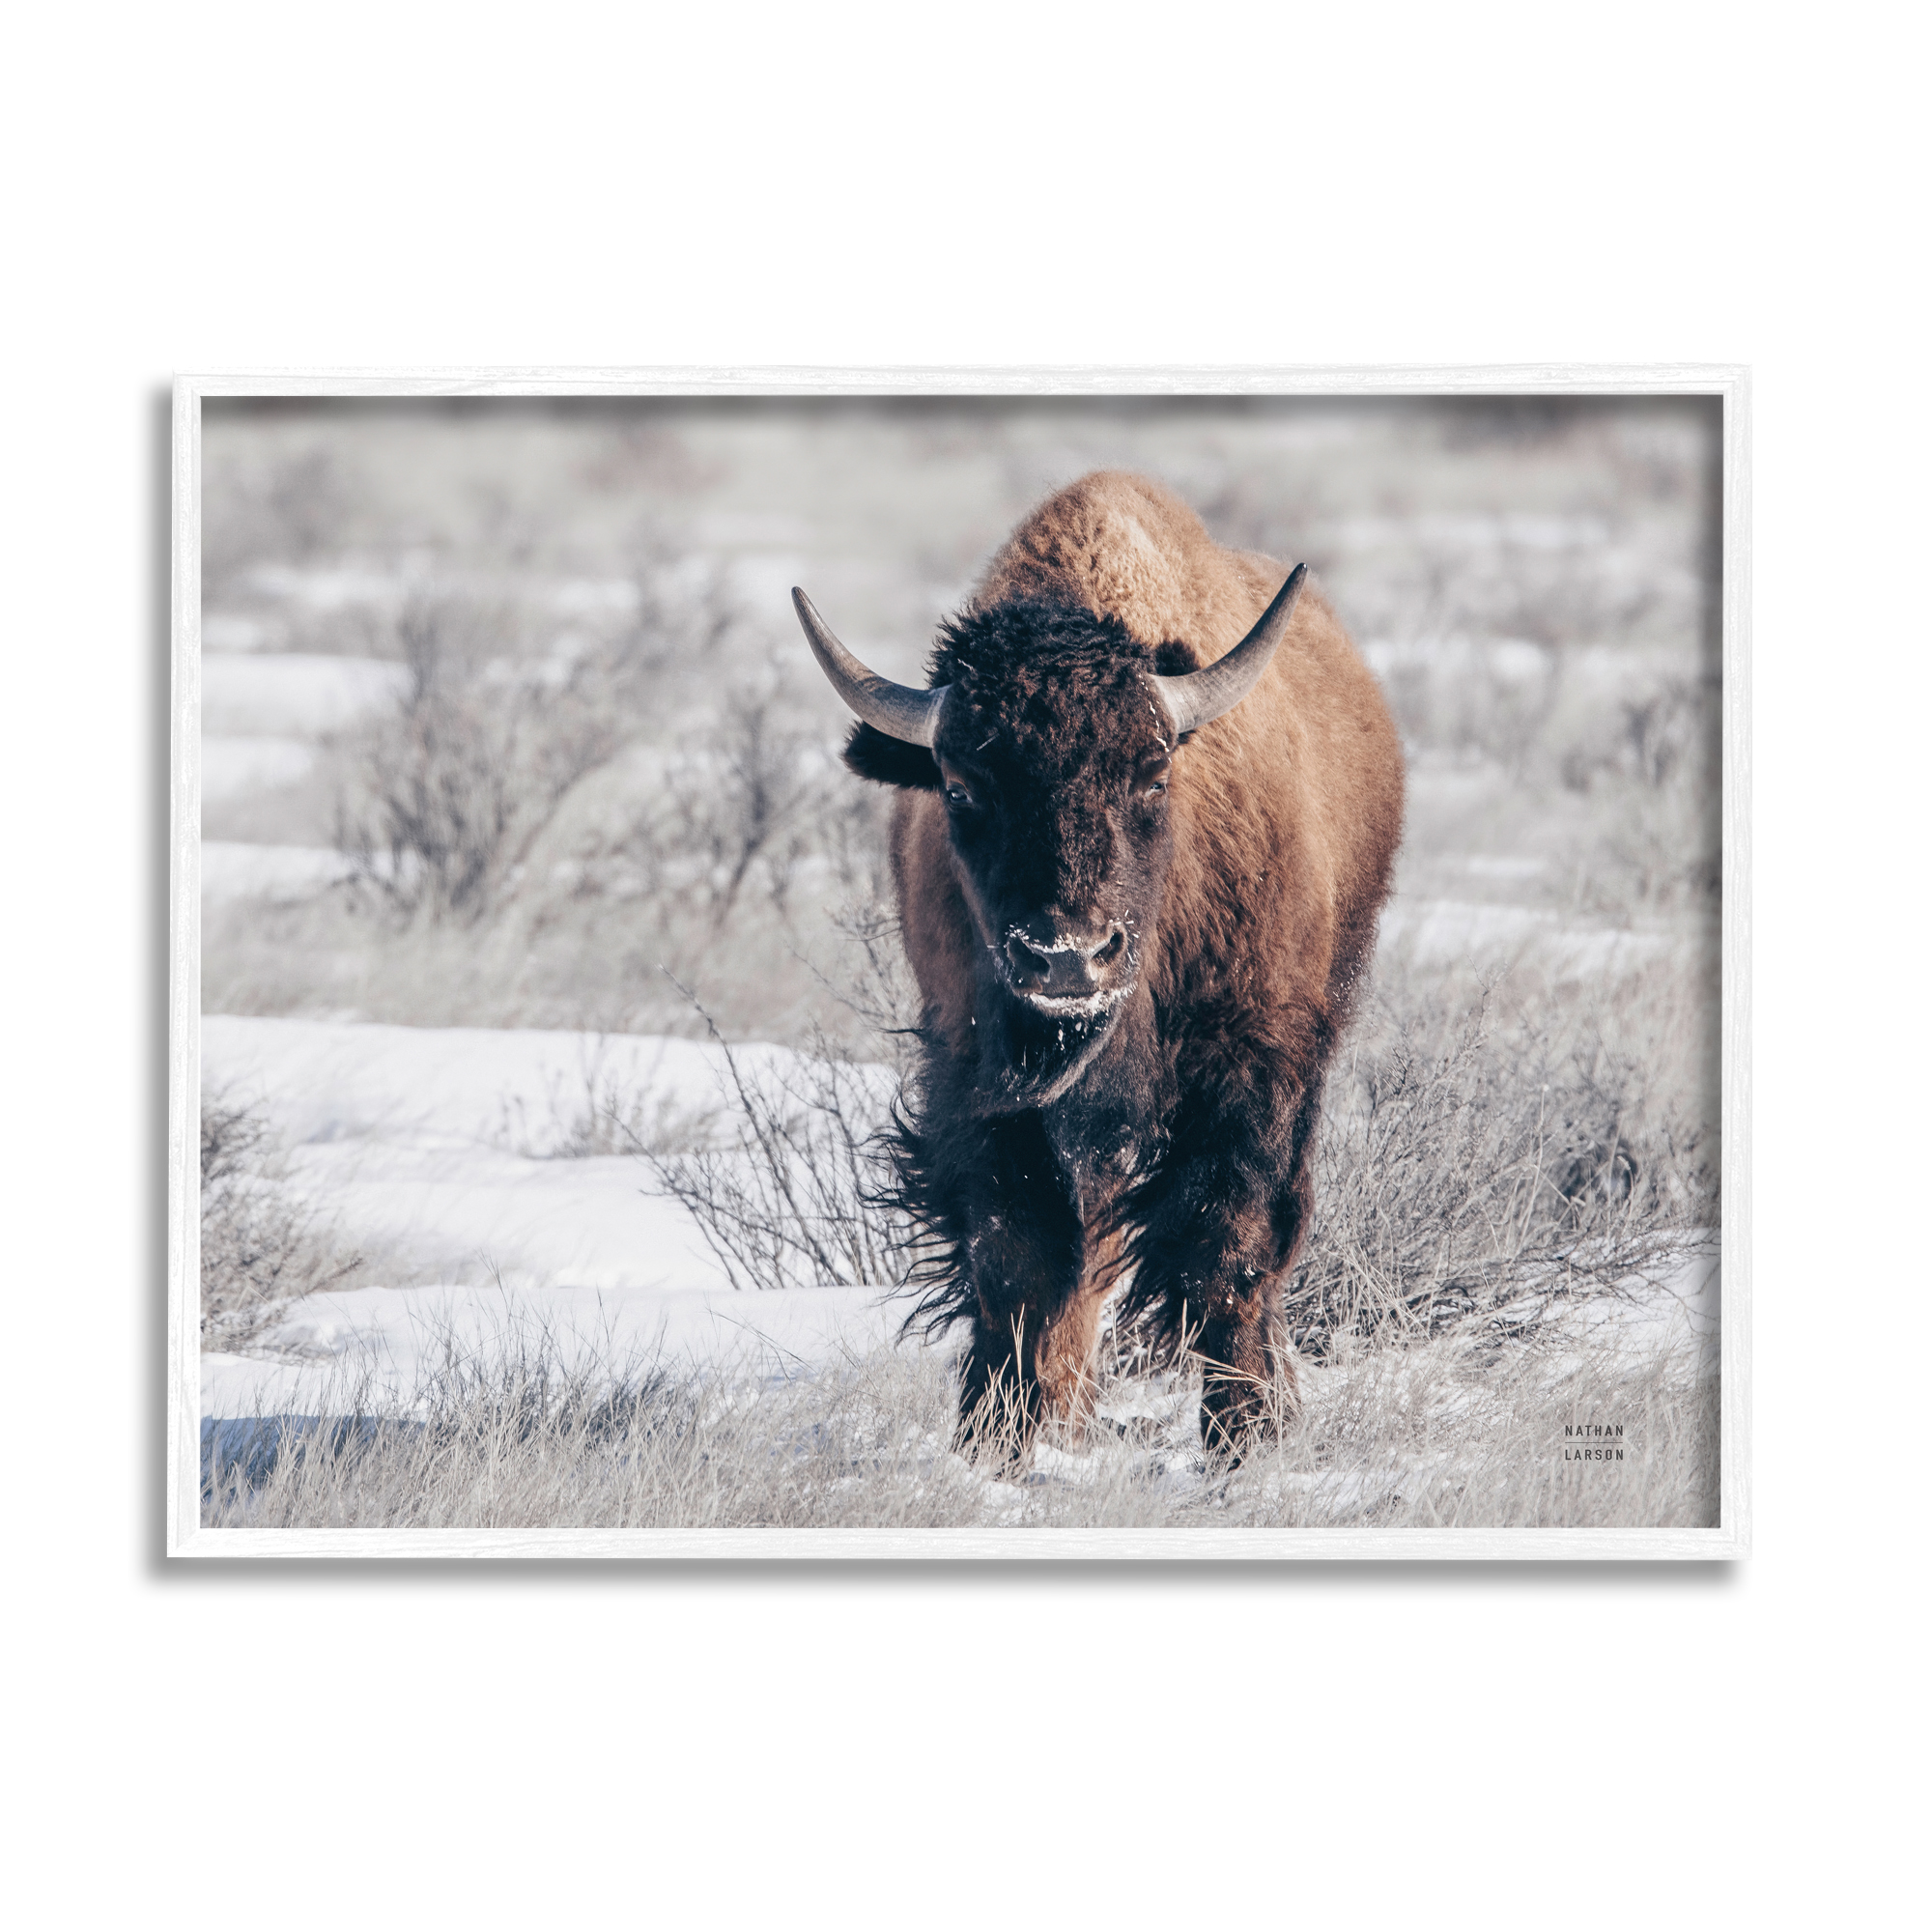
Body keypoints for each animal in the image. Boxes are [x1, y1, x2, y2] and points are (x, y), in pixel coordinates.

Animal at [795, 471, 1404, 1458]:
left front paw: (1246, 1438)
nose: (1067, 959)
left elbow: (1229, 1246)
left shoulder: (1253, 1066)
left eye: (1152, 775)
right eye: (960, 789)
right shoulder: (978, 1079)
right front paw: (996, 1439)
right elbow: (1016, 1258)